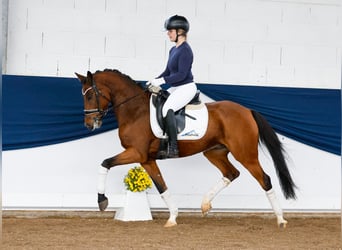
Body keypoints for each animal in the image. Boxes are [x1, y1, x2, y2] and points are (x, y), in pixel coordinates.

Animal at [76, 69, 296, 228]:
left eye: (90, 96)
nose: (89, 124)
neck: (135, 111)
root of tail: (247, 110)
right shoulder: (146, 159)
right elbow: (161, 186)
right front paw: (173, 217)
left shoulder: (136, 152)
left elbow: (105, 163)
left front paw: (102, 200)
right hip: (214, 152)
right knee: (231, 173)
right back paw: (205, 204)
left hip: (246, 155)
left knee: (264, 179)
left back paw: (281, 219)